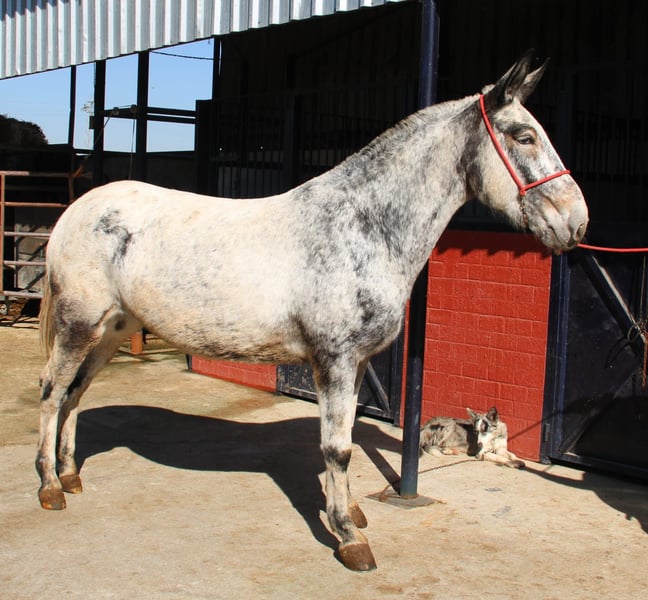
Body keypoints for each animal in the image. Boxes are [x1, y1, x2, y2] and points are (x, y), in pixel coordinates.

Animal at [35, 52, 588, 572]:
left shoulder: (358, 363)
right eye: (523, 136)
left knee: (76, 393)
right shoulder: (335, 362)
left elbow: (341, 443)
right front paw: (349, 537)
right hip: (78, 325)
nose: (577, 222)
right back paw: (50, 488)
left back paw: (71, 474)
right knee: (51, 392)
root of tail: (78, 209)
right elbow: (337, 448)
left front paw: (348, 512)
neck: (361, 227)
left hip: (110, 329)